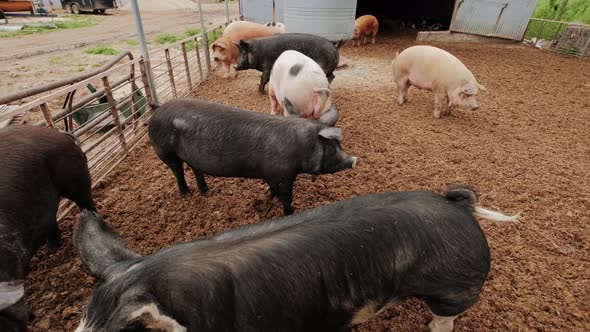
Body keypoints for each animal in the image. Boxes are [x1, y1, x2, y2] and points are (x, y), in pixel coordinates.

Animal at [150, 98, 358, 215]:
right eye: (331, 148)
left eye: (338, 145)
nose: (354, 160)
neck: (302, 146)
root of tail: (158, 109)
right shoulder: (283, 175)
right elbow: (286, 197)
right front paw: (290, 213)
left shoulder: (272, 175)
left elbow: (273, 190)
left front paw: (266, 198)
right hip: (164, 151)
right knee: (178, 171)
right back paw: (186, 194)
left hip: (192, 156)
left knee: (195, 170)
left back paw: (206, 192)